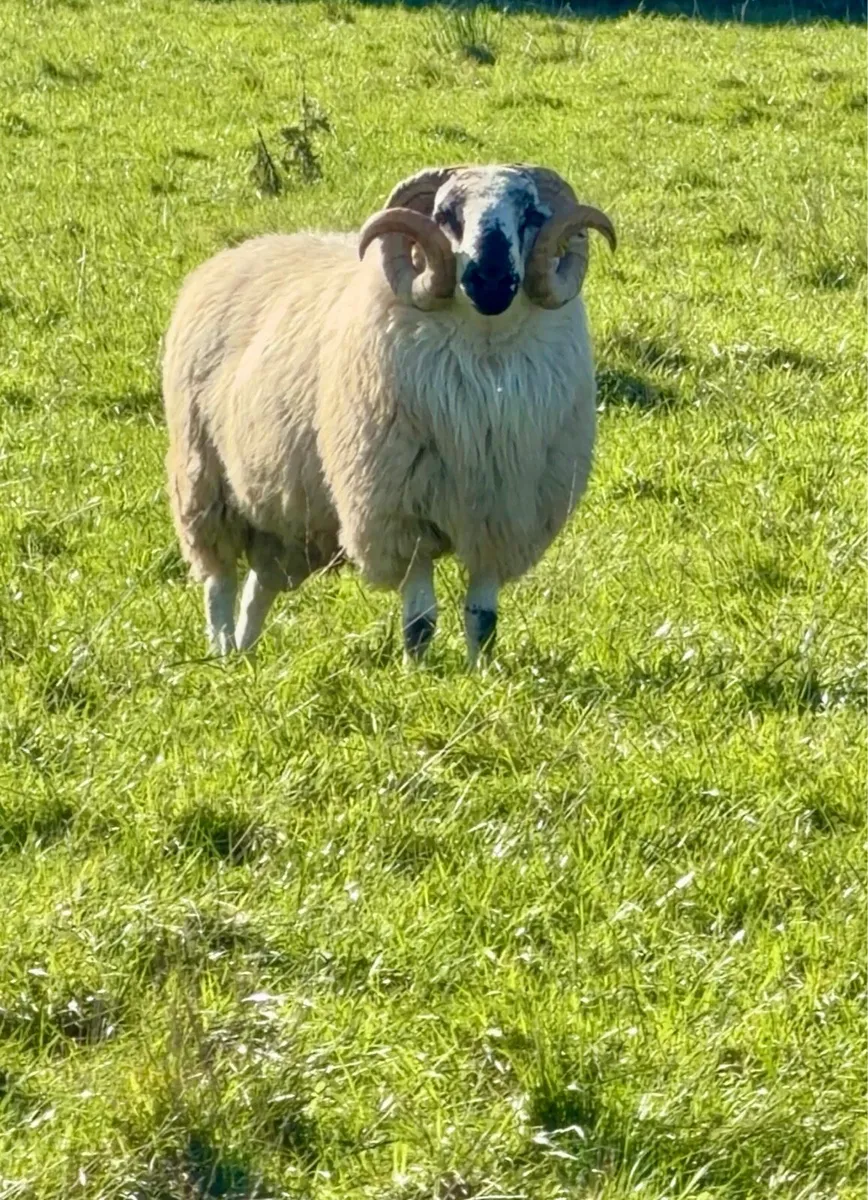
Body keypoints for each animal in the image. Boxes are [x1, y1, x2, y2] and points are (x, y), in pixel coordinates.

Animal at [162, 163, 615, 665]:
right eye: (445, 213)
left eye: (532, 214)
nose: (491, 279)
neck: (487, 352)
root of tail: (235, 253)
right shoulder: (398, 514)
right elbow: (421, 620)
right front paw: (416, 672)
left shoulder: (498, 517)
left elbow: (483, 619)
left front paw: (481, 672)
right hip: (204, 480)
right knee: (219, 579)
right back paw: (222, 651)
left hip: (286, 510)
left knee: (260, 583)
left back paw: (245, 653)